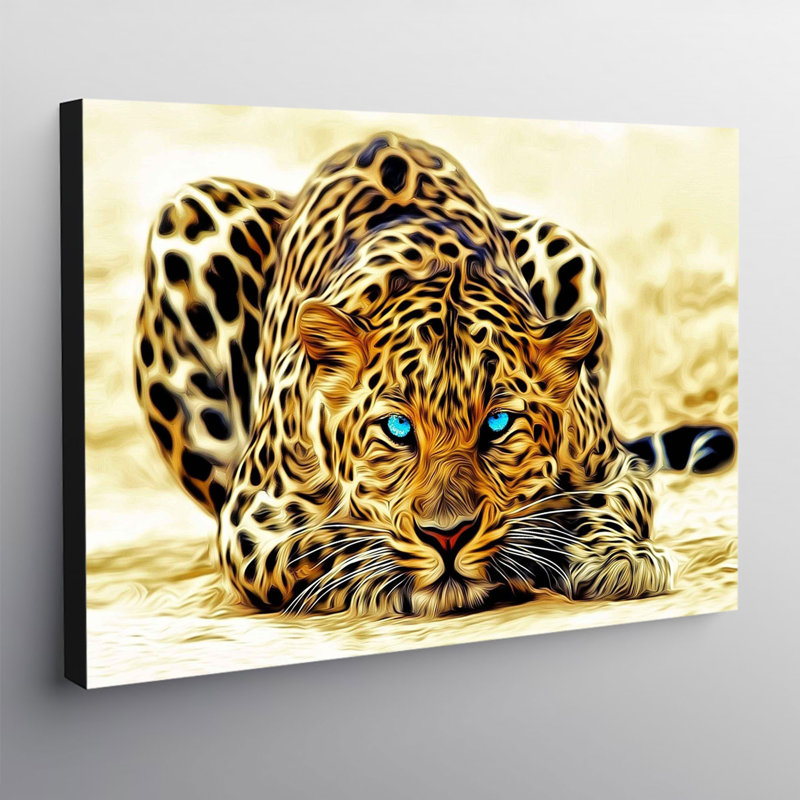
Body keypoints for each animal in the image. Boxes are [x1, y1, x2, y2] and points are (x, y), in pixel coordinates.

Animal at [134, 132, 735, 616]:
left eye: (498, 425)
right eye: (398, 429)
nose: (448, 537)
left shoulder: (614, 466)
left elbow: (612, 504)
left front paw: (619, 558)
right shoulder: (252, 520)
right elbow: (325, 545)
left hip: (564, 243)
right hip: (188, 217)